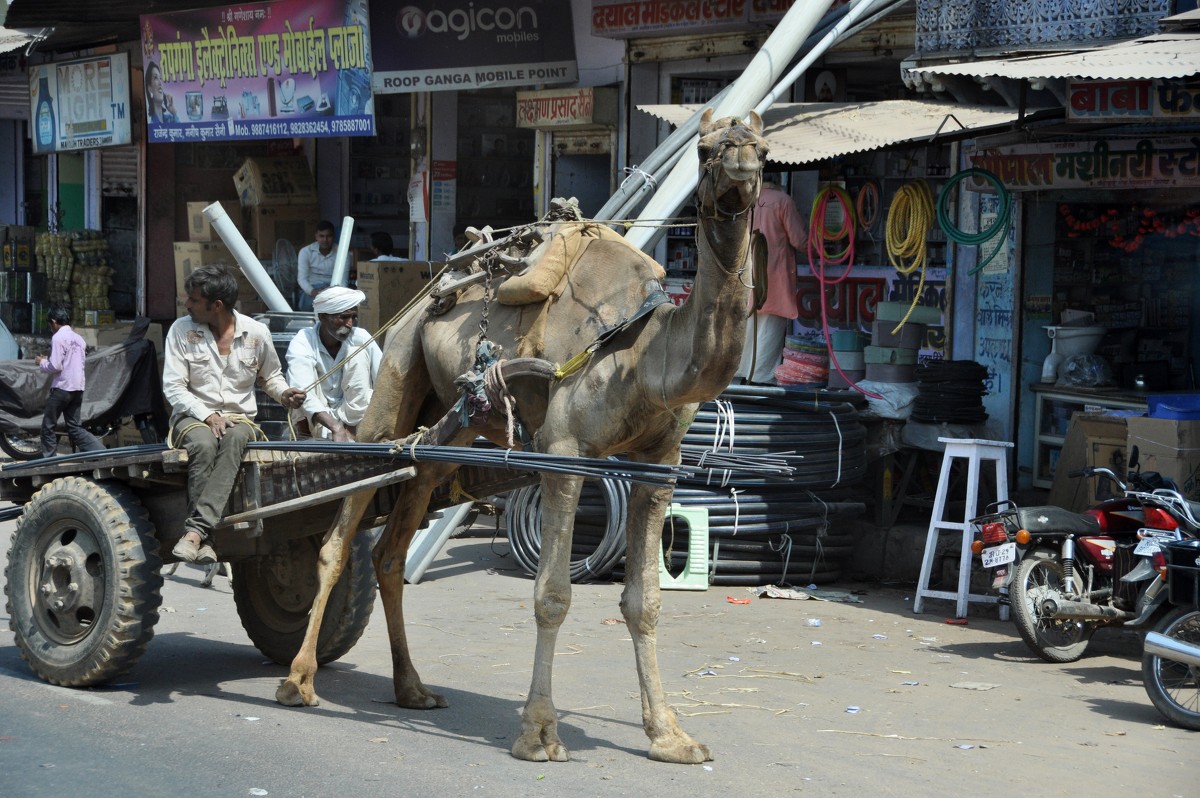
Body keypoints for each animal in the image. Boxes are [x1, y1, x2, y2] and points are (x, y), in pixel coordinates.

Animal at [276, 109, 768, 763]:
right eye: (705, 150)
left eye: (764, 150)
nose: (739, 161)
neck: (643, 351)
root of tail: (435, 285)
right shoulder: (564, 451)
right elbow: (552, 594)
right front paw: (538, 735)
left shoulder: (658, 464)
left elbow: (644, 601)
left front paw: (670, 736)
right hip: (396, 367)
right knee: (344, 524)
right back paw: (297, 681)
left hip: (449, 428)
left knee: (394, 541)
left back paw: (413, 689)